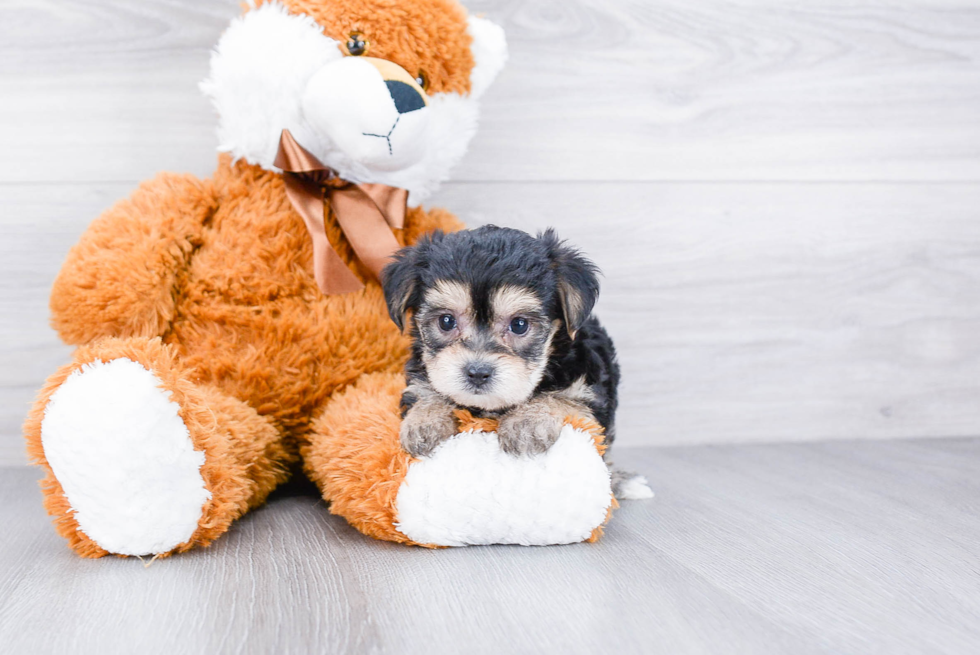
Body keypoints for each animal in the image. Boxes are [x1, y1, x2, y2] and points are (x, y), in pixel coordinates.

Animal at [380, 226, 620, 462]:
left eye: (519, 325)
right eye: (446, 321)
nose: (477, 373)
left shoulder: (588, 397)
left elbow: (563, 398)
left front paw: (527, 421)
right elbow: (426, 389)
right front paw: (425, 419)